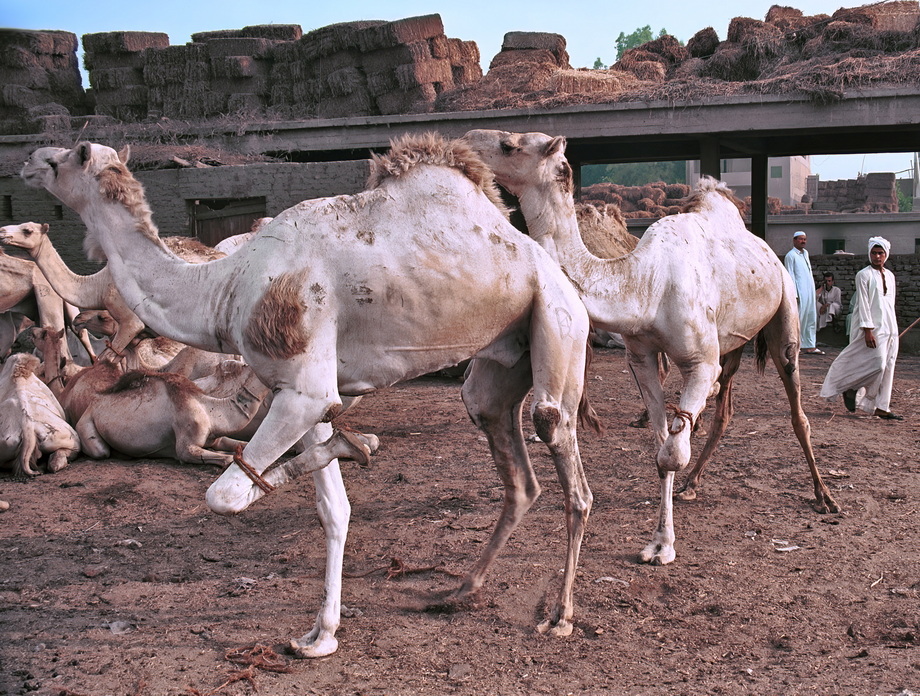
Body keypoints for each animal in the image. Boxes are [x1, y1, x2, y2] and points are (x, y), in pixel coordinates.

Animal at [19, 133, 597, 657]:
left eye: (69, 156)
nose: (27, 162)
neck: (226, 287)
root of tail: (557, 271)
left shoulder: (303, 388)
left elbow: (224, 496)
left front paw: (355, 443)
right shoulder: (307, 393)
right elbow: (333, 510)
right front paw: (321, 636)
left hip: (559, 320)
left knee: (561, 448)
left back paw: (561, 616)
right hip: (501, 360)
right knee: (514, 468)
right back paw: (458, 590)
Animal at [464, 128, 839, 567]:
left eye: (510, 146)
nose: (468, 138)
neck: (645, 282)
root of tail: (769, 253)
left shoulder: (699, 361)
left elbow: (672, 453)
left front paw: (664, 545)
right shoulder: (641, 356)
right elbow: (661, 446)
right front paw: (660, 538)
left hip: (785, 313)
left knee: (797, 408)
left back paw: (824, 496)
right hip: (732, 344)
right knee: (725, 408)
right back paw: (693, 483)